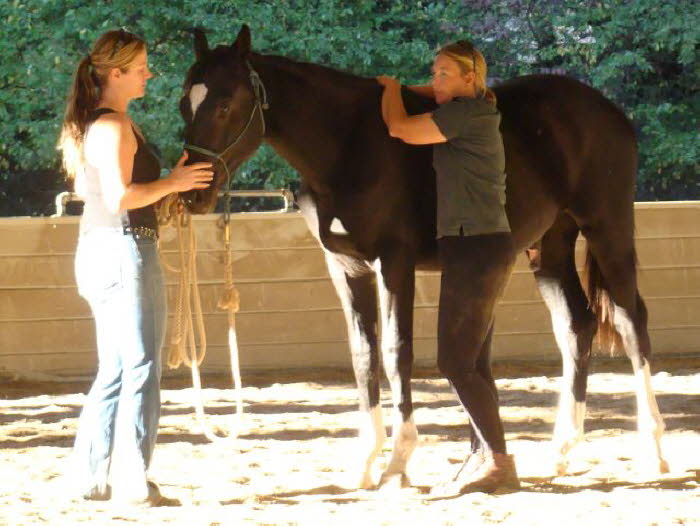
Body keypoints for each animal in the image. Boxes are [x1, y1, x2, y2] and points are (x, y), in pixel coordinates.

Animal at [176, 26, 668, 488]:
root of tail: (608, 111)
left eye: (225, 105)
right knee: (576, 326)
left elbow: (396, 353)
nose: (193, 193)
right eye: (185, 104)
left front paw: (398, 462)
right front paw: (366, 461)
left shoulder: (393, 263)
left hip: (608, 230)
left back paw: (654, 447)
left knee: (631, 323)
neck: (348, 146)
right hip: (549, 248)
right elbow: (363, 355)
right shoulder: (345, 267)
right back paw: (563, 448)